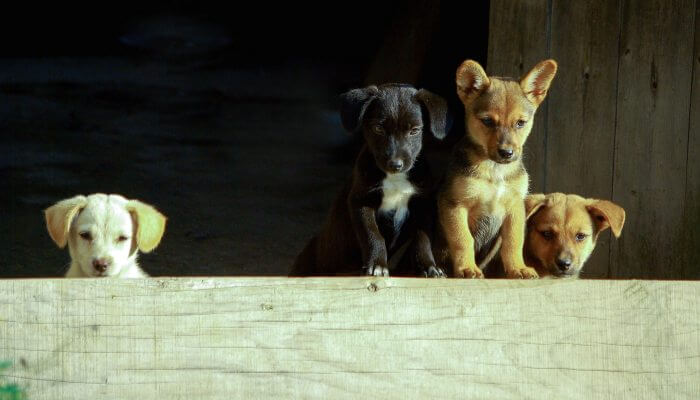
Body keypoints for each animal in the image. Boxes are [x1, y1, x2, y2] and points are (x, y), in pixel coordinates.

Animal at [290, 83, 448, 278]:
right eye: (378, 129)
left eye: (415, 131)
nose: (395, 164)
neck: (395, 178)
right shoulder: (361, 201)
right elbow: (373, 235)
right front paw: (377, 265)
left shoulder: (423, 205)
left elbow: (422, 238)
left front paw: (429, 266)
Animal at [438, 58, 556, 278]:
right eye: (487, 121)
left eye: (520, 123)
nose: (506, 153)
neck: (494, 170)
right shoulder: (454, 204)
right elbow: (462, 239)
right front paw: (467, 268)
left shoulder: (515, 207)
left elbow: (513, 242)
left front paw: (518, 268)